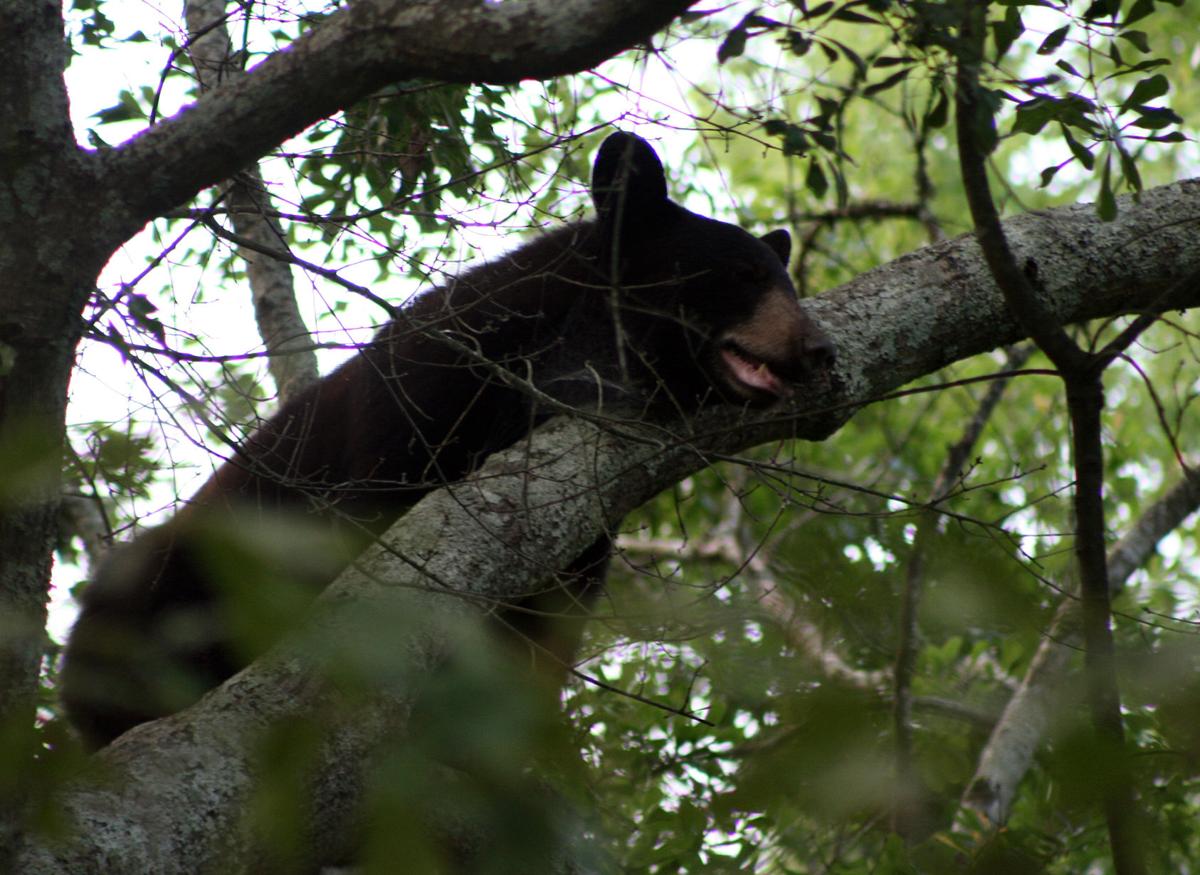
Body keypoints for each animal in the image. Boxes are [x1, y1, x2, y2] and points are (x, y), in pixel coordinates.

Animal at [60, 132, 836, 750]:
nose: (819, 348)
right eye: (744, 274)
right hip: (180, 570)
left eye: (783, 279)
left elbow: (542, 624)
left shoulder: (589, 516)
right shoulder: (423, 390)